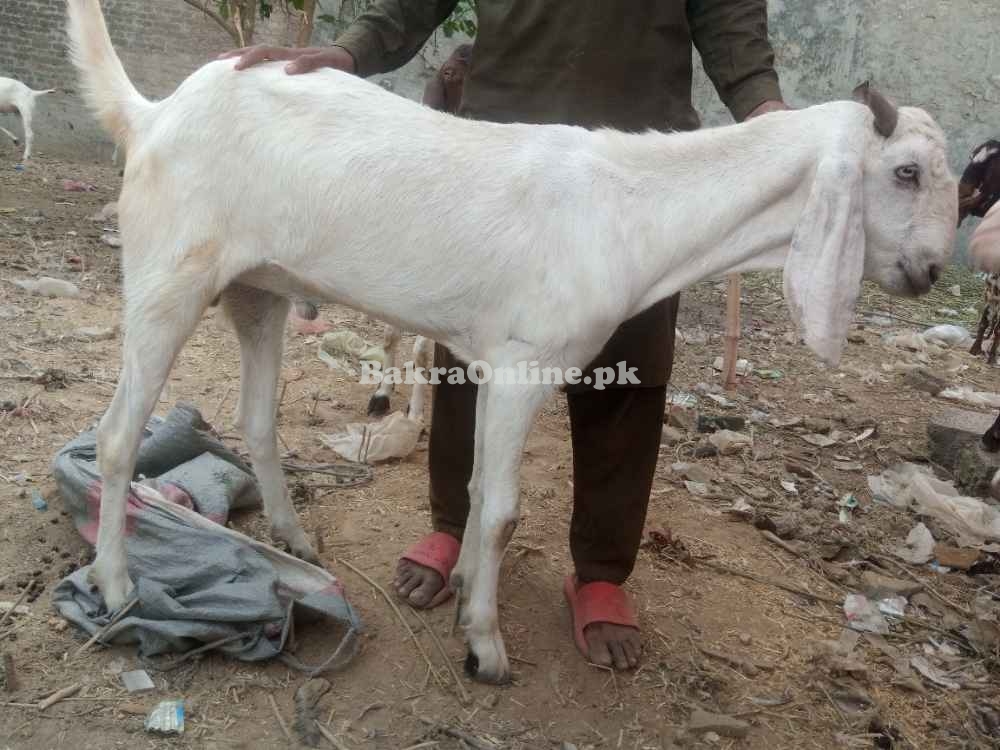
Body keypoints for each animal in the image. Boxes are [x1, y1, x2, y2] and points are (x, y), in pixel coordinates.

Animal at [66, 0, 956, 688]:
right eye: (906, 172)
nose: (931, 270)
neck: (634, 208)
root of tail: (154, 114)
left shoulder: (495, 361)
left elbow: (479, 491)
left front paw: (463, 590)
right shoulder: (528, 362)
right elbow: (500, 510)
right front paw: (485, 645)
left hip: (259, 291)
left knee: (255, 419)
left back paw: (291, 537)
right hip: (166, 277)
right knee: (116, 437)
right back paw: (116, 584)